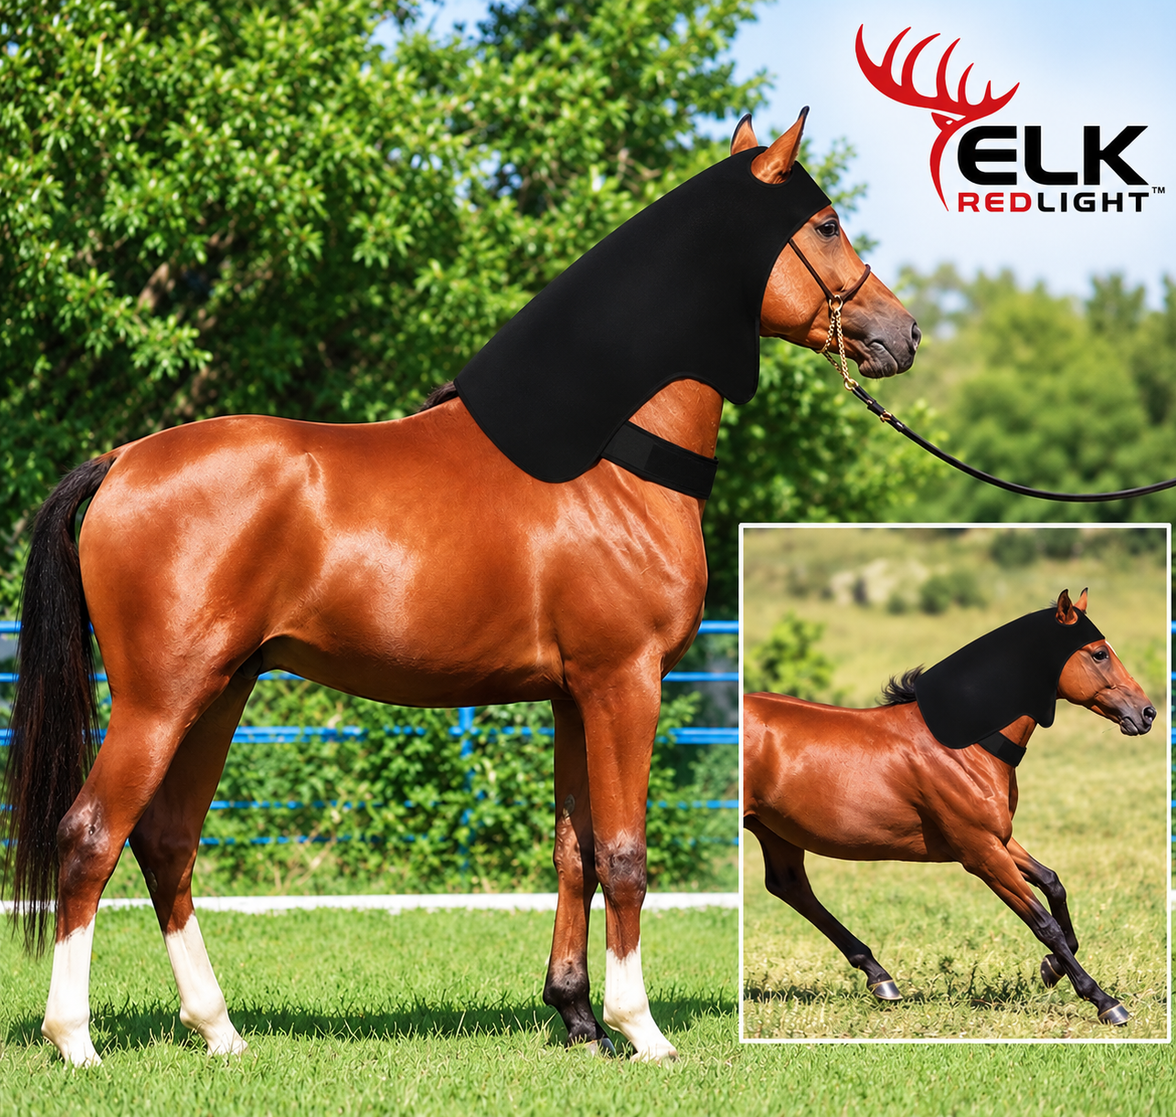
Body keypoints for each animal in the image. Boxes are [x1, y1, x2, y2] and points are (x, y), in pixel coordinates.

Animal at [1, 109, 919, 1066]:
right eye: (825, 226)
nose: (904, 333)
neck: (613, 457)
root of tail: (121, 462)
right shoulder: (624, 682)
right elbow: (624, 855)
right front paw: (641, 1027)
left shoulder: (572, 695)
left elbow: (575, 850)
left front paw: (577, 1015)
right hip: (159, 699)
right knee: (89, 837)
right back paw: (75, 1038)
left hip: (220, 691)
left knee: (166, 841)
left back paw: (218, 1029)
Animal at [743, 588, 1157, 1028]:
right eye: (1099, 653)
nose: (1146, 713)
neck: (966, 743)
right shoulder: (980, 852)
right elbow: (1044, 923)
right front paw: (1104, 1001)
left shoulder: (997, 838)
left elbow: (1053, 883)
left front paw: (1051, 969)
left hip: (777, 831)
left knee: (790, 887)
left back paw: (880, 978)